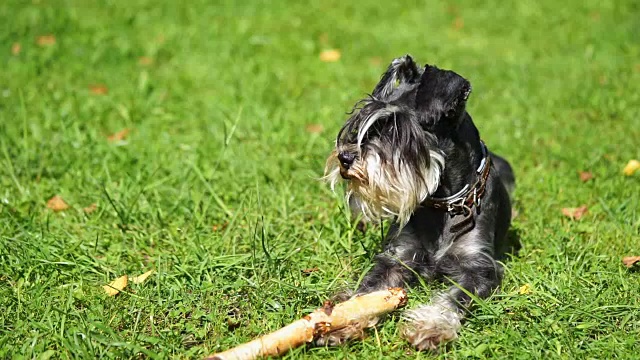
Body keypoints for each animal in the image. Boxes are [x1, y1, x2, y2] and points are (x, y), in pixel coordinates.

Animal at [322, 56, 516, 352]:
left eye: (398, 130)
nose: (345, 157)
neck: (445, 205)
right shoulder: (397, 257)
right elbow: (368, 289)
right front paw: (346, 319)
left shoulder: (479, 268)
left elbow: (455, 298)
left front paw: (431, 326)